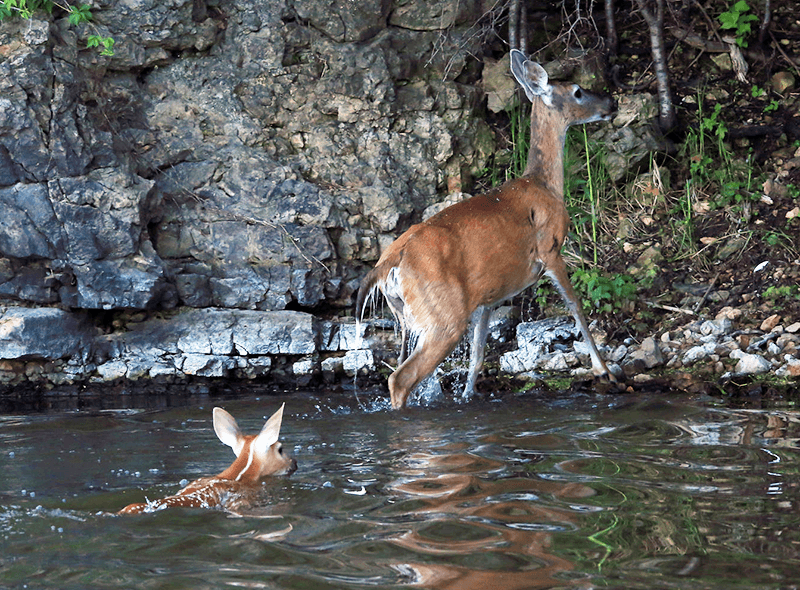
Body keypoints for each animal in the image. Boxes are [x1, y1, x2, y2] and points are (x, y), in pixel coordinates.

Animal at [356, 49, 620, 412]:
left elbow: (478, 356)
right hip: (443, 314)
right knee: (400, 378)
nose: (612, 102)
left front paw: (468, 396)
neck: (544, 184)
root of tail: (390, 261)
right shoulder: (550, 249)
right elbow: (576, 307)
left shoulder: (488, 295)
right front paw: (604, 371)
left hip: (412, 315)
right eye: (578, 91)